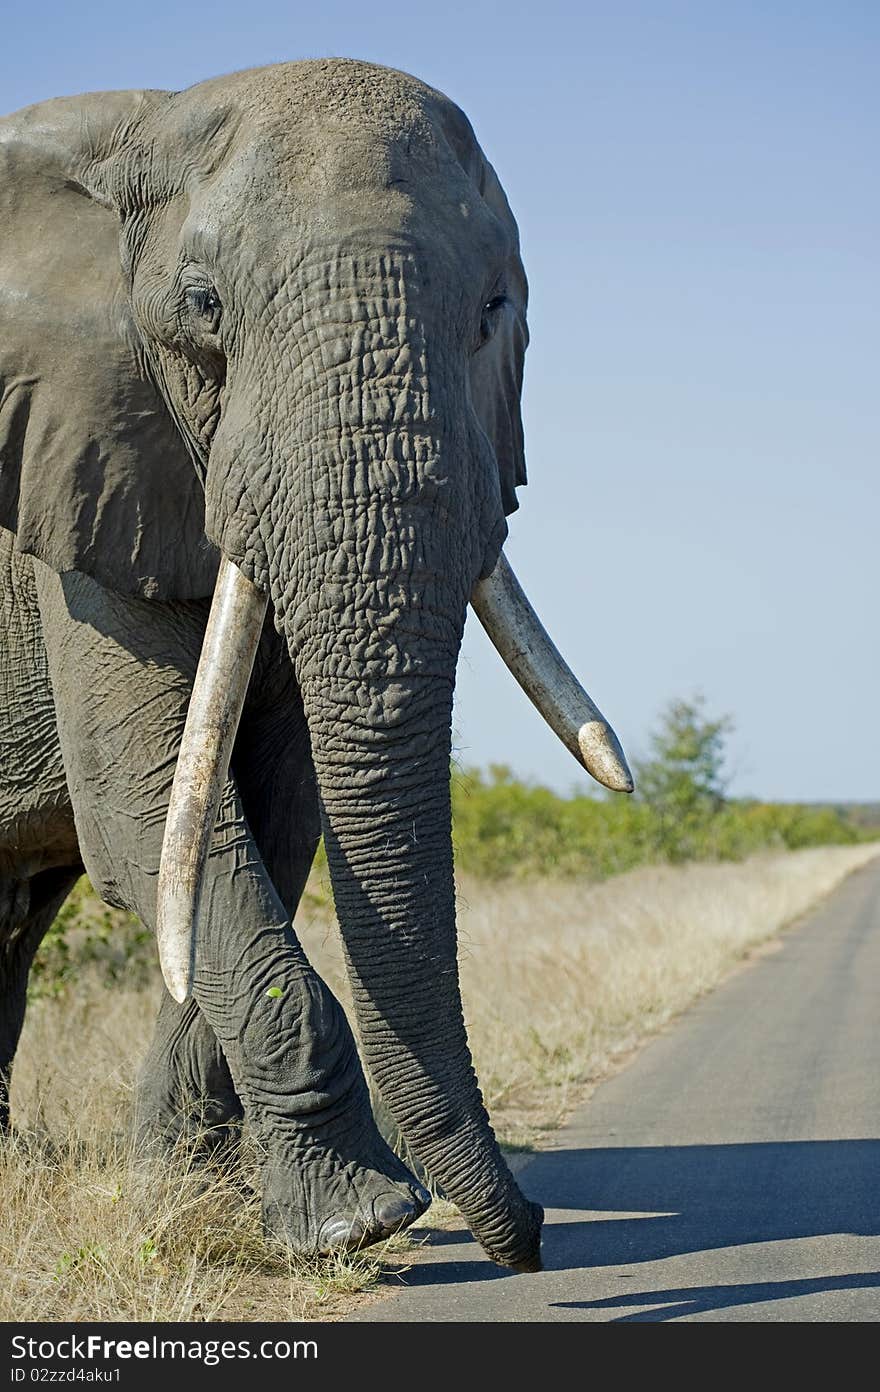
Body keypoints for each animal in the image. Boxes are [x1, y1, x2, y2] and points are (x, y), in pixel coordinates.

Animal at [0, 57, 632, 1275]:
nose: (530, 1238)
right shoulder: (74, 472)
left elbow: (271, 814)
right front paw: (356, 1220)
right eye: (202, 308)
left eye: (496, 309)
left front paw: (197, 1206)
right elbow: (147, 815)